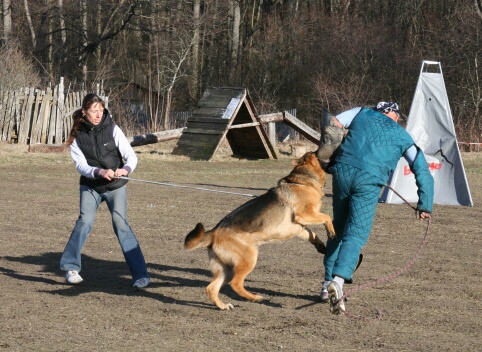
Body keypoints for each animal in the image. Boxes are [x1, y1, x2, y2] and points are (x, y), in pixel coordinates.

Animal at [185, 152, 336, 310]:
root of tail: (213, 232)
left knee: (211, 288)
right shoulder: (304, 215)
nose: (317, 150)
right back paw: (255, 298)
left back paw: (223, 306)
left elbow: (313, 235)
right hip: (248, 259)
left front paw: (321, 246)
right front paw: (332, 232)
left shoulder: (299, 227)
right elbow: (327, 217)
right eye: (313, 153)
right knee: (235, 284)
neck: (303, 181)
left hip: (226, 269)